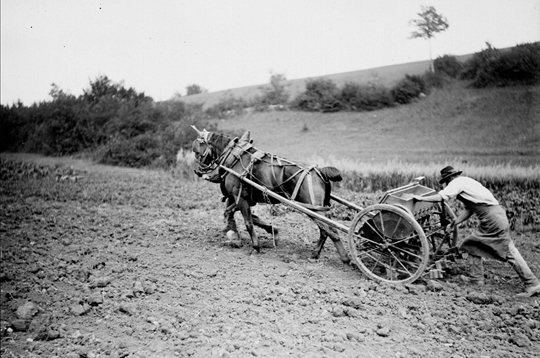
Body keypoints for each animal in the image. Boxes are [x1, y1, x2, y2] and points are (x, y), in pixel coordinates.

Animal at [190, 127, 350, 264]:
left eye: (197, 151)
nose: (197, 171)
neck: (232, 158)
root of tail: (320, 171)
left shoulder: (240, 198)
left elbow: (248, 222)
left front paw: (256, 247)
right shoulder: (239, 198)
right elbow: (233, 214)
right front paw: (237, 235)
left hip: (313, 208)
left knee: (330, 230)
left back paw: (345, 258)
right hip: (321, 208)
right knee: (326, 231)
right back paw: (316, 254)